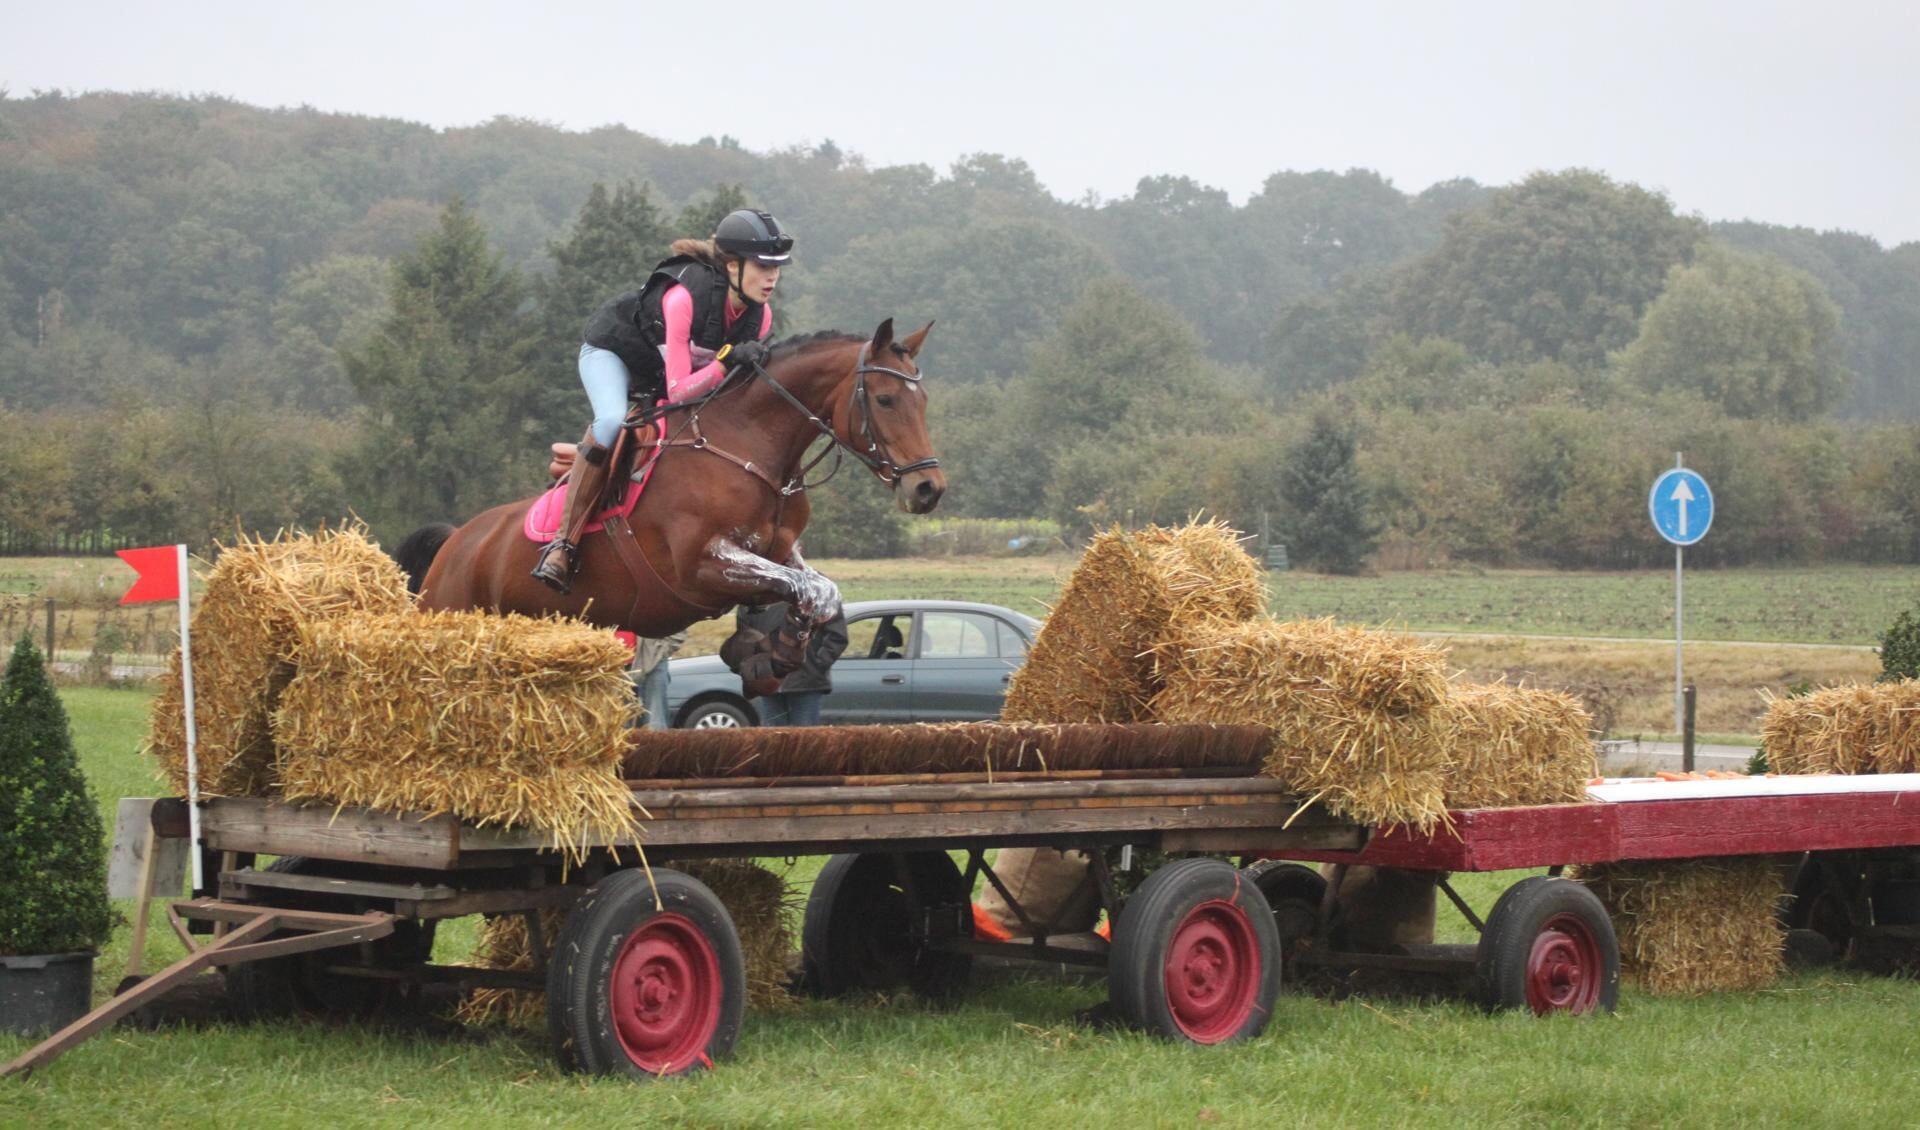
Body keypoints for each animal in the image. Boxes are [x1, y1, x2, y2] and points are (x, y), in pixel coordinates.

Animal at [399, 316, 944, 686]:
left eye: (924, 402)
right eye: (885, 400)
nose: (928, 489)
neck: (749, 445)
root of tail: (457, 543)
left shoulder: (777, 553)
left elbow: (819, 591)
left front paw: (772, 654)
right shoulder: (701, 568)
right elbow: (801, 588)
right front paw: (762, 652)